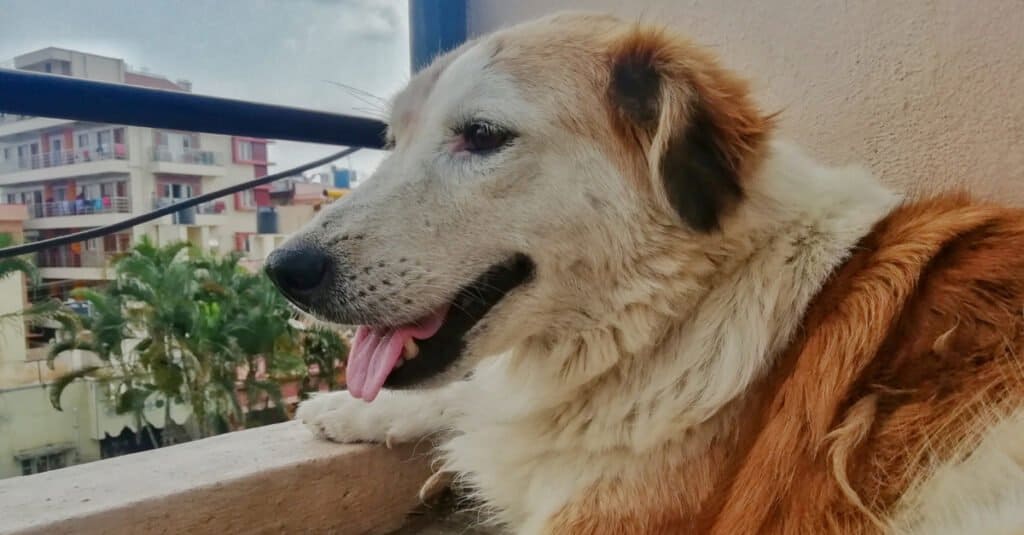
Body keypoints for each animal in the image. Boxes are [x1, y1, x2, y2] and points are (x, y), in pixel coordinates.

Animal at [266, 12, 1024, 532]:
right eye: (393, 140)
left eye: (480, 135)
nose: (282, 268)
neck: (670, 316)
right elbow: (469, 394)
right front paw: (348, 408)